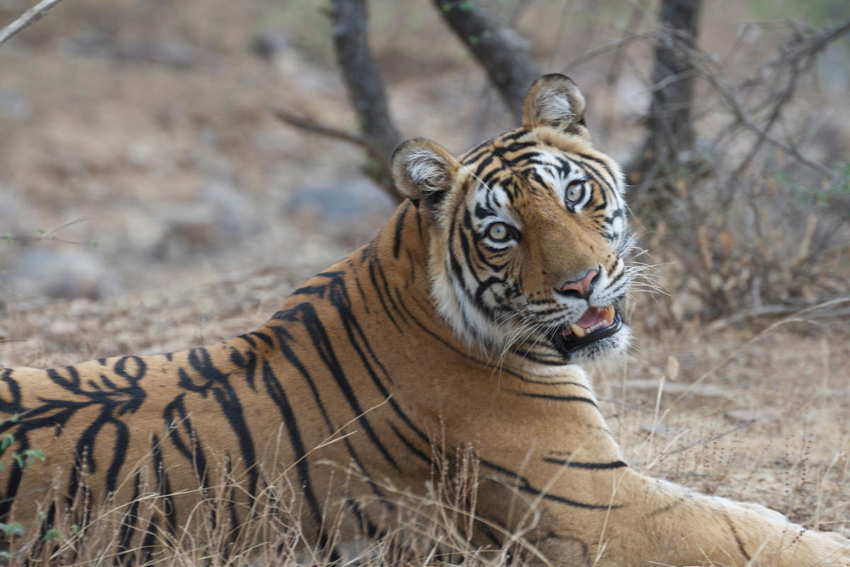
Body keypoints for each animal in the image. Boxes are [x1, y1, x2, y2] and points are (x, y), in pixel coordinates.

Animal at [0, 75, 844, 567]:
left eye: (574, 195)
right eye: (502, 232)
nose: (581, 285)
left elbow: (748, 513)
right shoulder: (599, 507)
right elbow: (745, 532)